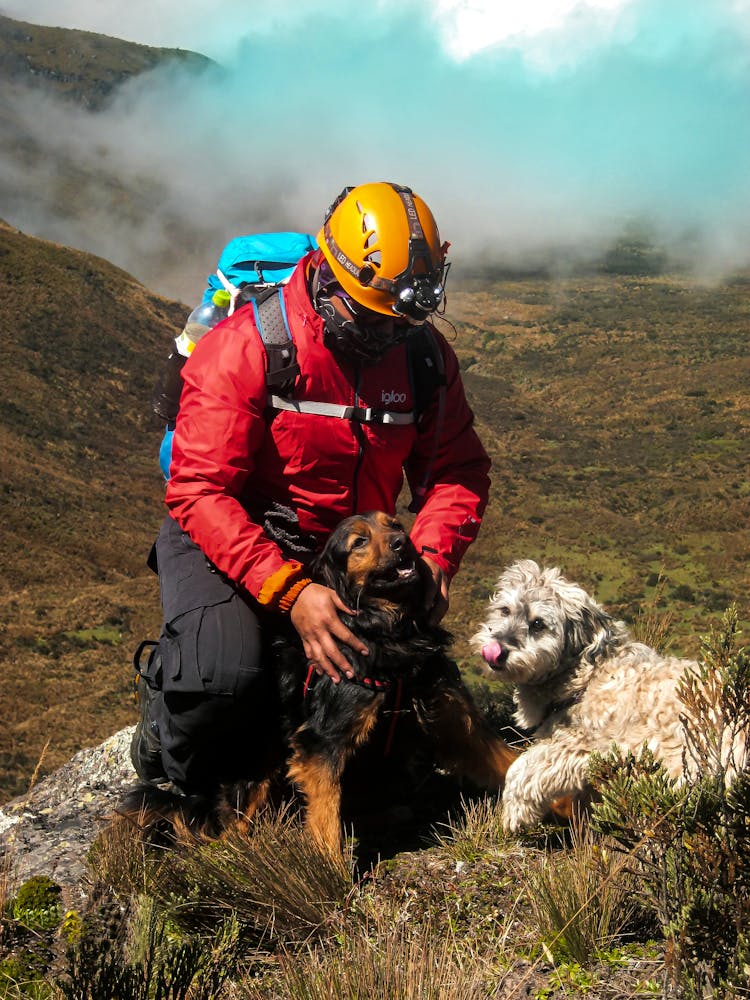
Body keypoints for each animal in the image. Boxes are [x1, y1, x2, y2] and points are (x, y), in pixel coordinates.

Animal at [125, 516, 524, 852]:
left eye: (394, 524)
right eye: (359, 541)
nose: (403, 542)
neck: (387, 631)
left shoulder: (450, 707)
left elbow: (507, 759)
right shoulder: (321, 742)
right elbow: (325, 820)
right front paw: (333, 876)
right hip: (254, 767)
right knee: (227, 829)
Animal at [476, 560, 748, 832]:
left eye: (537, 624)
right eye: (505, 610)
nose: (496, 650)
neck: (586, 677)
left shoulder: (585, 747)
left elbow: (523, 769)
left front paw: (515, 813)